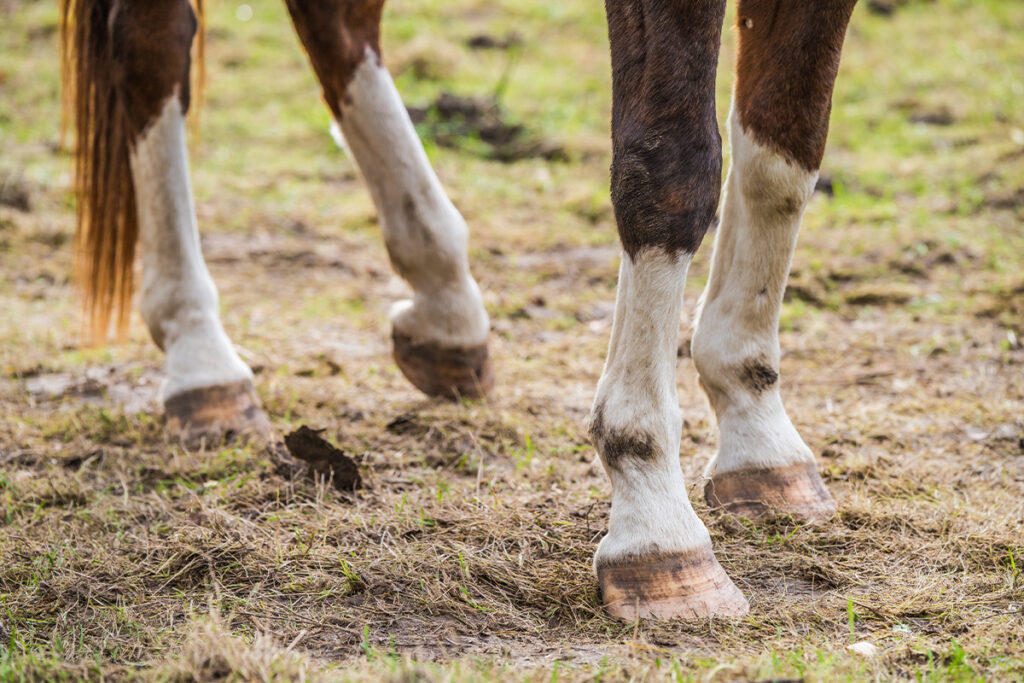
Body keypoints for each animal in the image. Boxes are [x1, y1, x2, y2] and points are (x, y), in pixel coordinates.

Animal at [58, 0, 858, 621]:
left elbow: (785, 149)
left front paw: (757, 430)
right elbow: (673, 166)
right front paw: (655, 517)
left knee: (333, 23)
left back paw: (445, 305)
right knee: (149, 39)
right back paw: (201, 358)